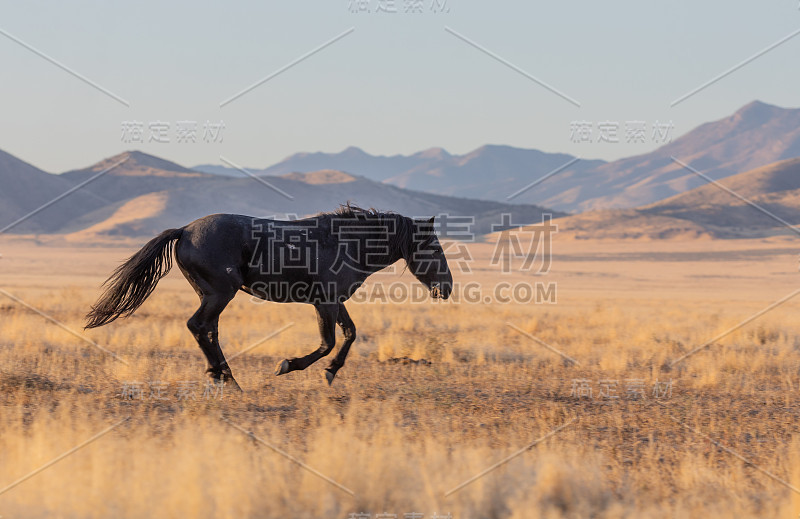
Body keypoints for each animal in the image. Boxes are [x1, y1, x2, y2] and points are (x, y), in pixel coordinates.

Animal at [86, 204, 454, 390]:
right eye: (435, 248)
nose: (447, 288)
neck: (345, 244)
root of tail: (185, 231)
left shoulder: (335, 301)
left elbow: (349, 335)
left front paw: (331, 372)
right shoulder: (324, 302)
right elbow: (328, 342)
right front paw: (289, 366)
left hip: (213, 295)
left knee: (207, 330)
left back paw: (224, 377)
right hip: (220, 293)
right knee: (199, 326)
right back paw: (226, 379)